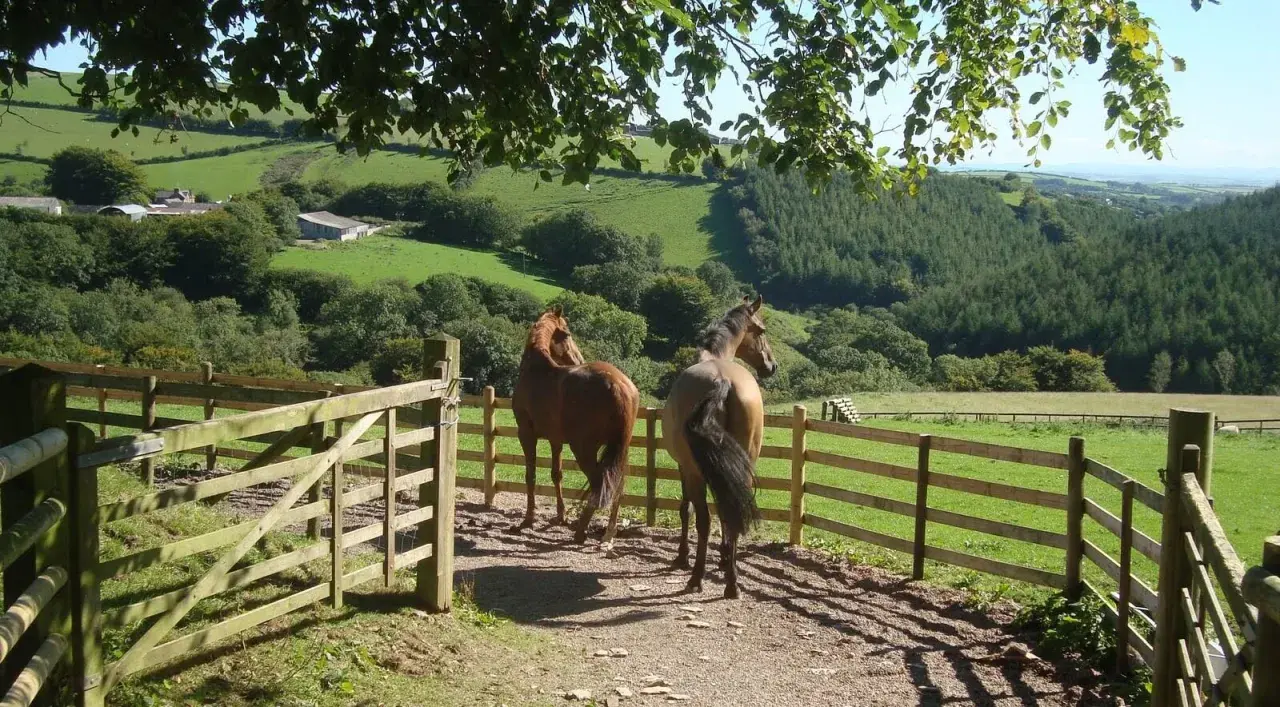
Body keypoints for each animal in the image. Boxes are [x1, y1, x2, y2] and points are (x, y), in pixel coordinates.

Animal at [511, 306, 640, 545]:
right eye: (568, 334)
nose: (578, 358)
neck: (537, 372)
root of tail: (619, 386)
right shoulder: (556, 440)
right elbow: (556, 474)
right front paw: (560, 516)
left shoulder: (526, 434)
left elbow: (531, 475)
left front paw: (527, 520)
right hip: (620, 450)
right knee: (618, 486)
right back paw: (609, 532)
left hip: (584, 448)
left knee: (599, 483)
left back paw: (581, 531)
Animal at [662, 295, 778, 598]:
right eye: (761, 331)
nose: (772, 366)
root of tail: (722, 381)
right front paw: (726, 557)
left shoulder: (685, 467)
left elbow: (686, 509)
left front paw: (682, 556)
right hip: (743, 465)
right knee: (731, 510)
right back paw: (732, 583)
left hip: (695, 471)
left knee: (703, 519)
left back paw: (696, 577)